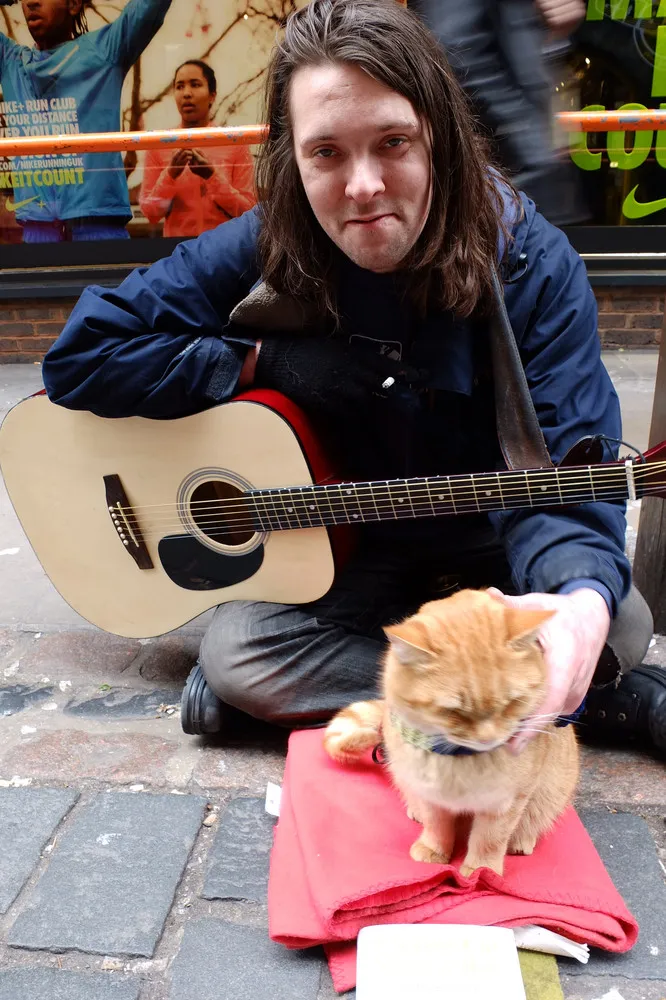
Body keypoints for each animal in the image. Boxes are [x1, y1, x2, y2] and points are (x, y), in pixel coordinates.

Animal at [324, 588, 580, 880]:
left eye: (511, 703)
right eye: (454, 711)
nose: (488, 738)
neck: (461, 760)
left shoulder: (507, 800)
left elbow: (491, 838)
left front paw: (482, 869)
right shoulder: (429, 795)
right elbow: (436, 826)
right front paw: (434, 849)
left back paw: (522, 840)